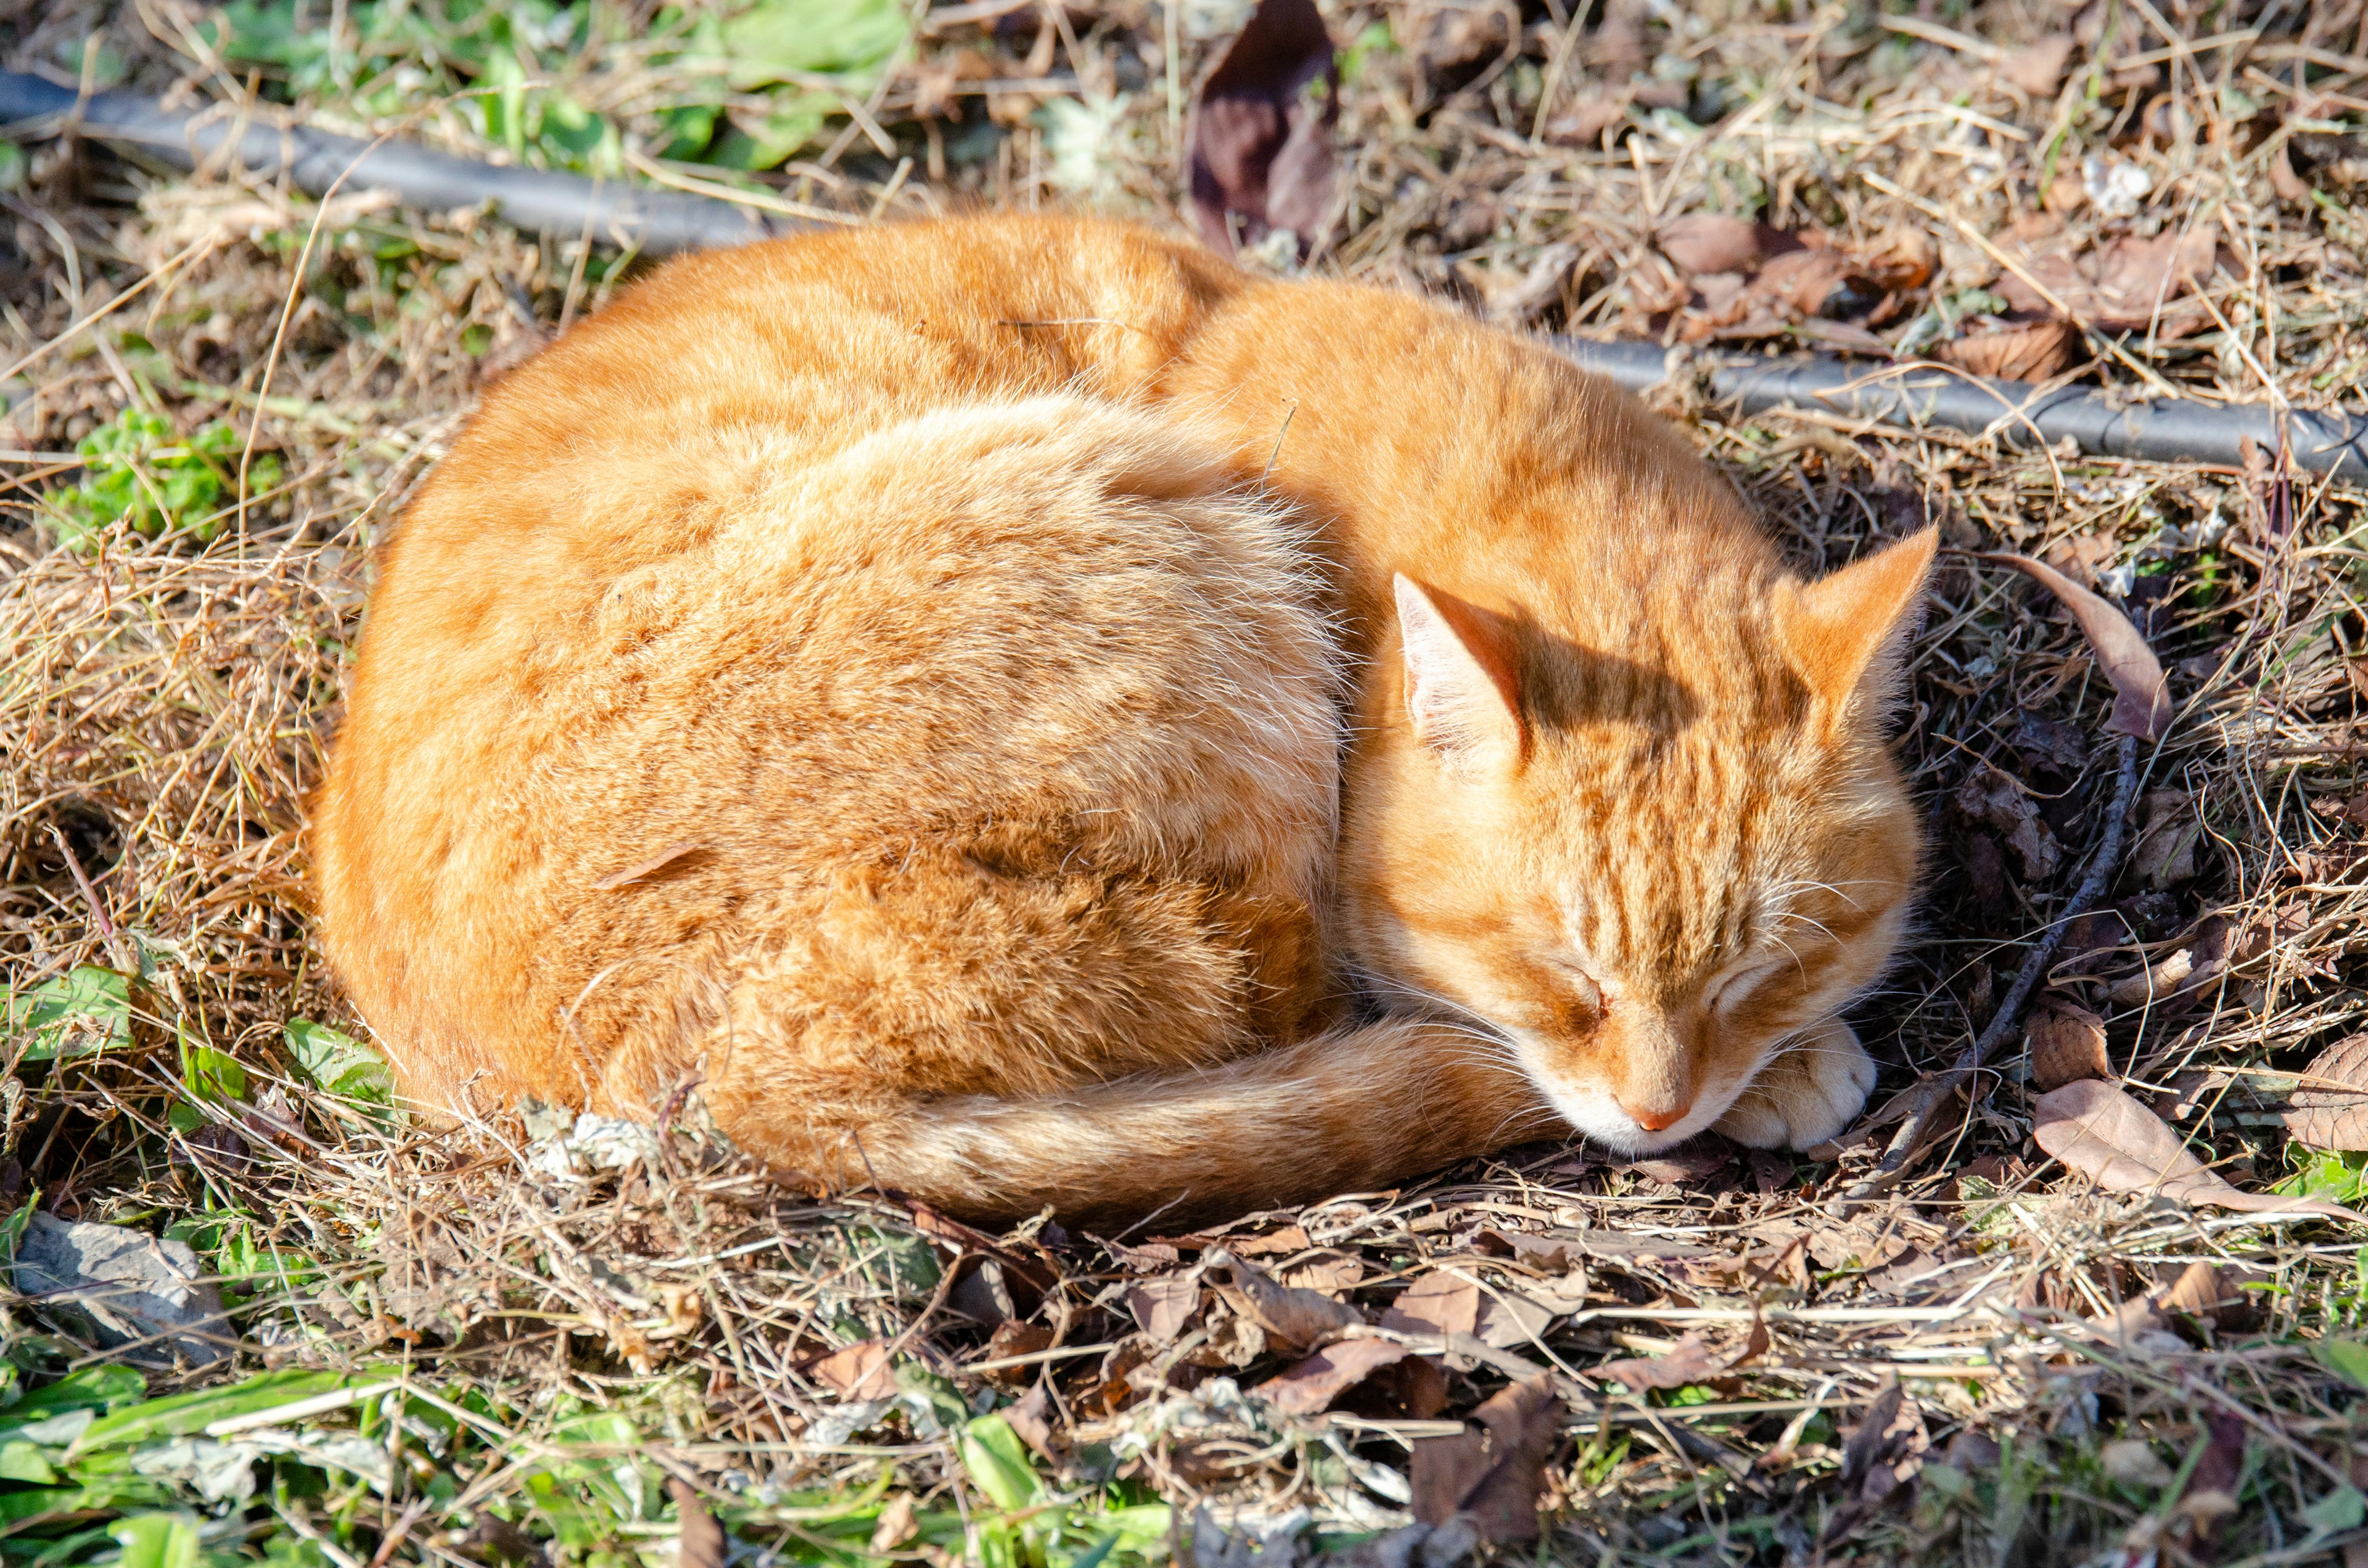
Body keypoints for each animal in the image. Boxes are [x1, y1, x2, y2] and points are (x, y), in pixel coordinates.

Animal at [314, 215, 1932, 1231]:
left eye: (1764, 969)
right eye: (1563, 978)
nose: (1661, 1114)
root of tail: (761, 1085)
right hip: (1154, 564)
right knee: (1265, 1008)